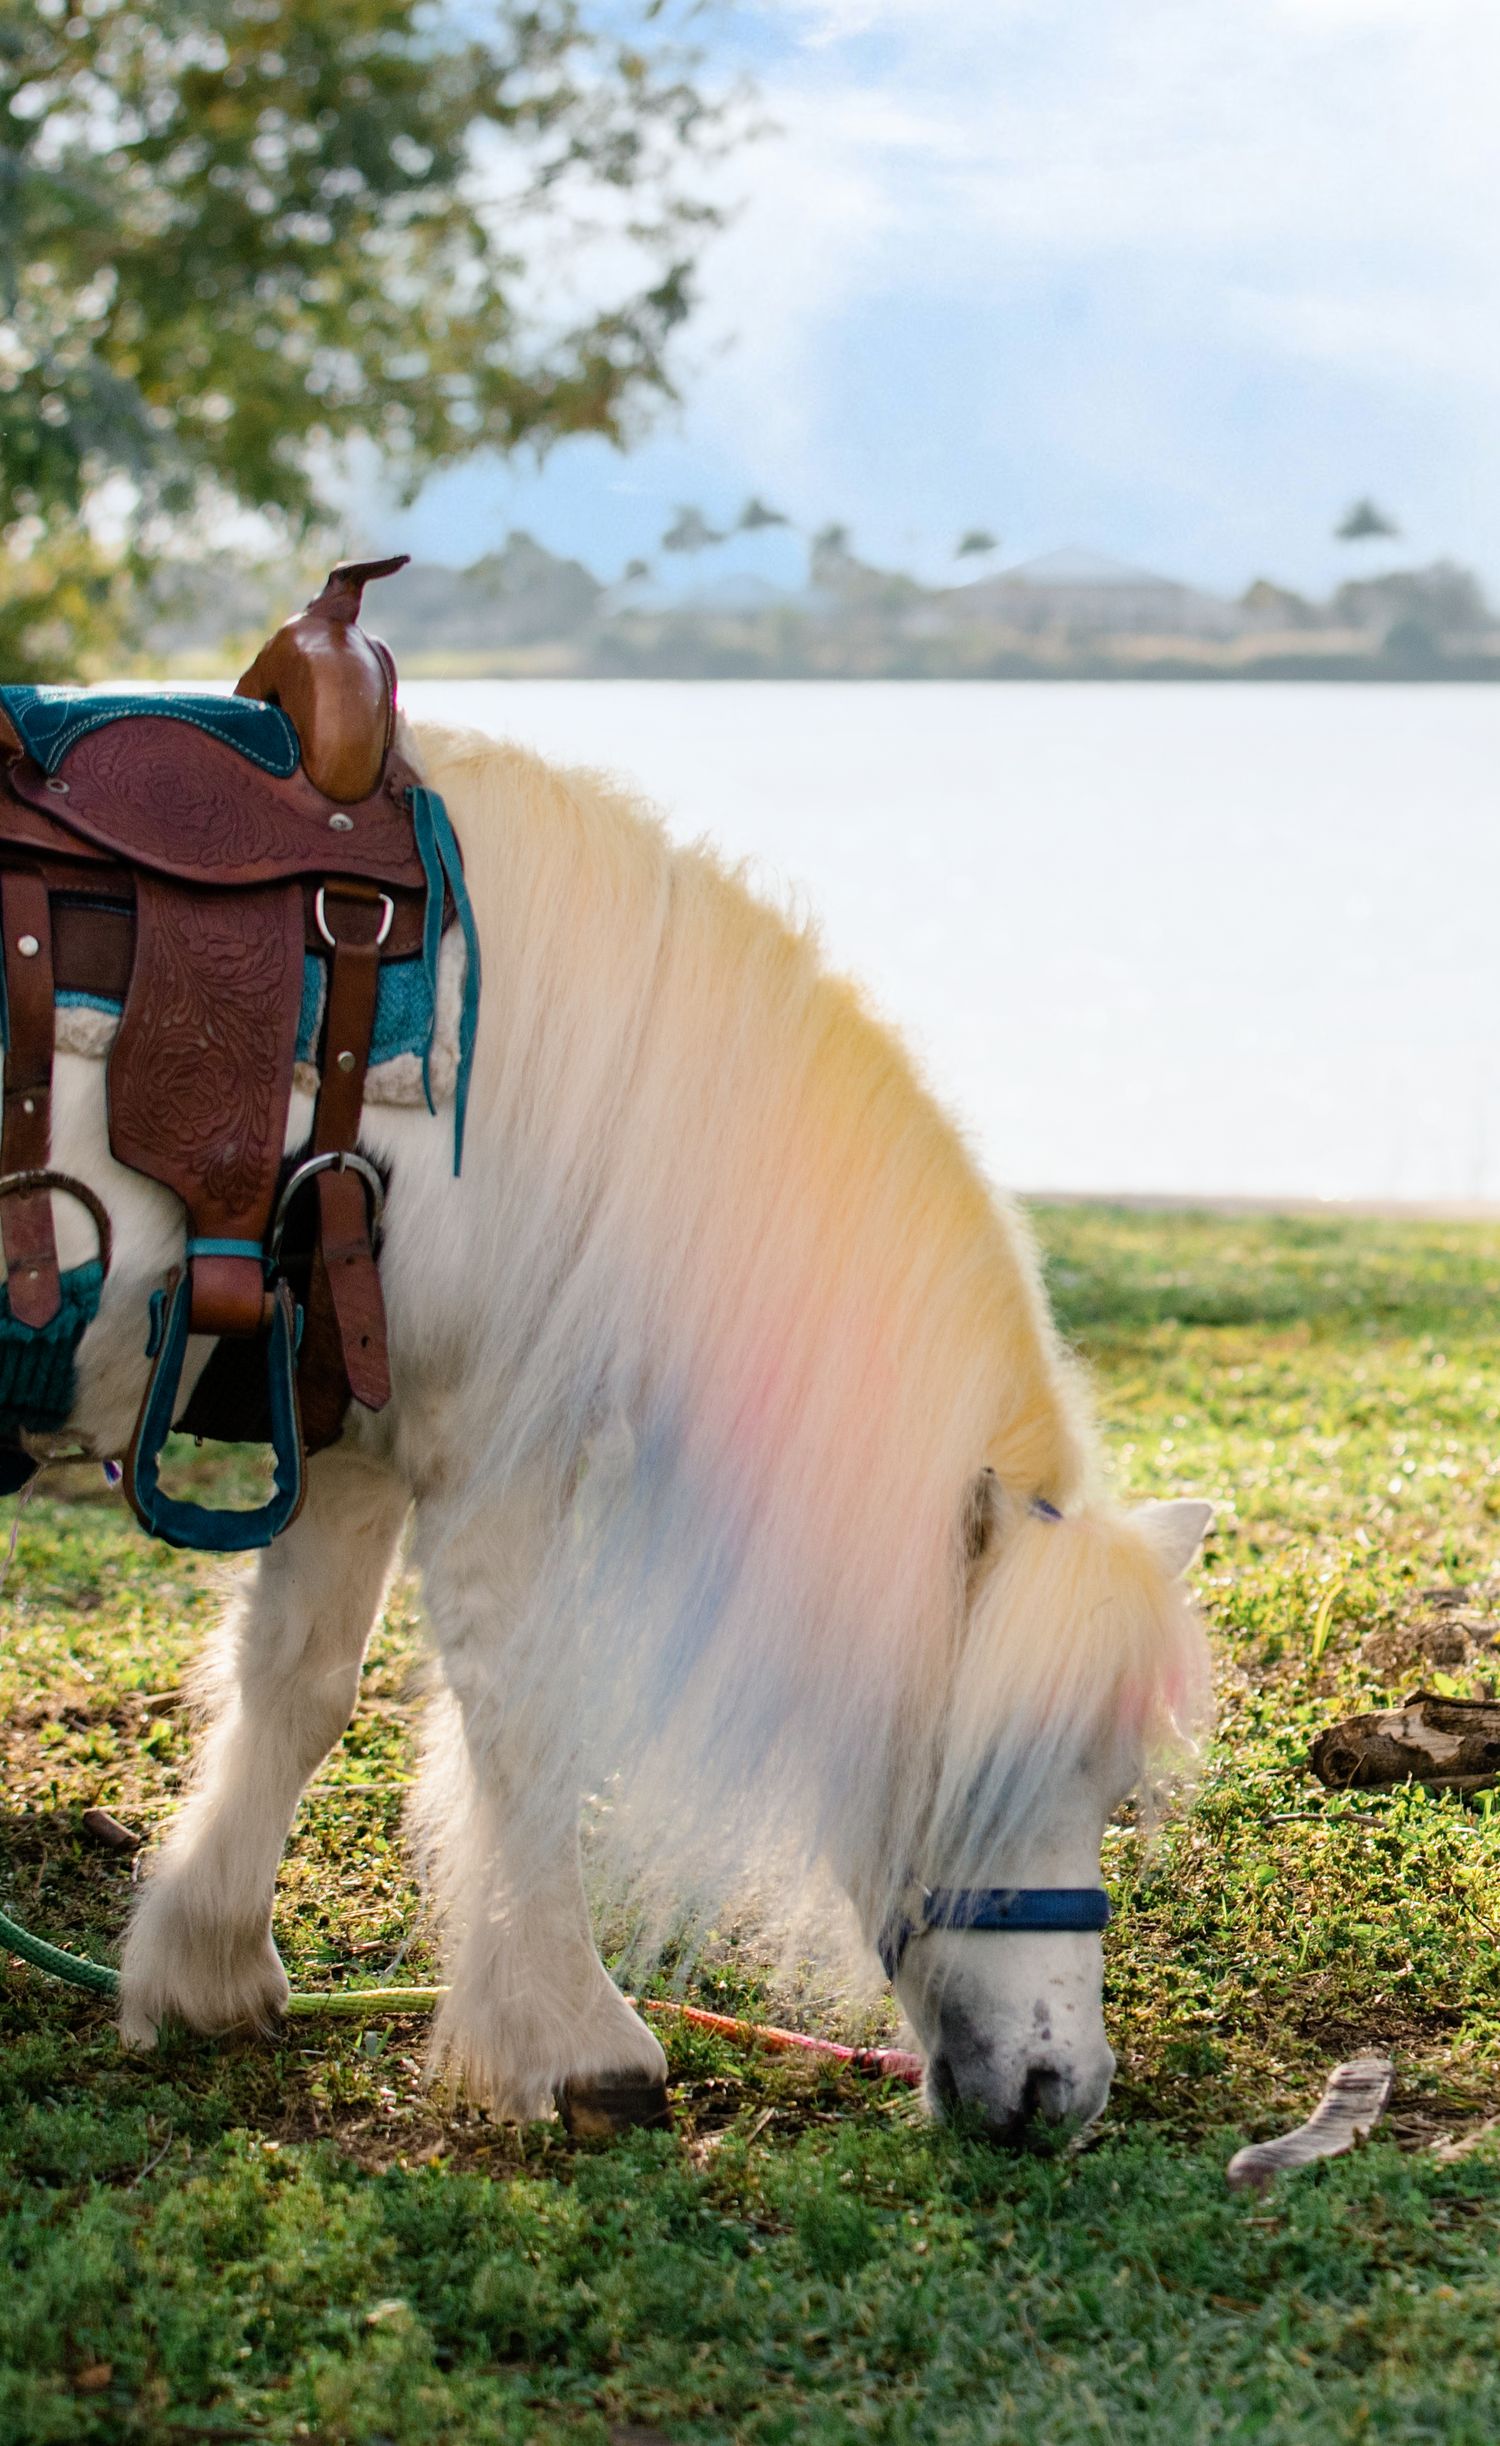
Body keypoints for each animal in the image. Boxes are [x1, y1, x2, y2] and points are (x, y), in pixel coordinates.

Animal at [35, 714, 1212, 2139]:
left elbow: (299, 1686)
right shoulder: (488, 1454)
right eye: (1001, 1768)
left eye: (1118, 1788)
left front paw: (205, 1963)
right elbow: (525, 1719)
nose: (1058, 2090)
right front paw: (575, 2041)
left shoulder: (351, 1447)